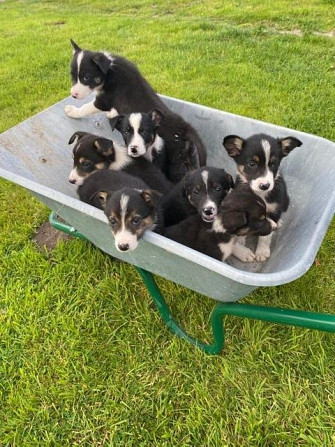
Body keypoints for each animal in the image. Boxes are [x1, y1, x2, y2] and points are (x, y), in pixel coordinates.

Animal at [65, 40, 207, 183]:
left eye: (86, 77)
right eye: (72, 76)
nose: (73, 95)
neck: (109, 70)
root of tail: (187, 130)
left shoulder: (103, 101)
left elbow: (86, 107)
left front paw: (72, 111)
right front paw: (113, 114)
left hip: (175, 163)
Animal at [222, 132, 304, 262]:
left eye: (273, 164)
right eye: (252, 164)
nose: (265, 186)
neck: (260, 194)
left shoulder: (274, 209)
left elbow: (266, 236)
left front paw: (262, 252)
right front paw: (242, 245)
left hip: (285, 201)